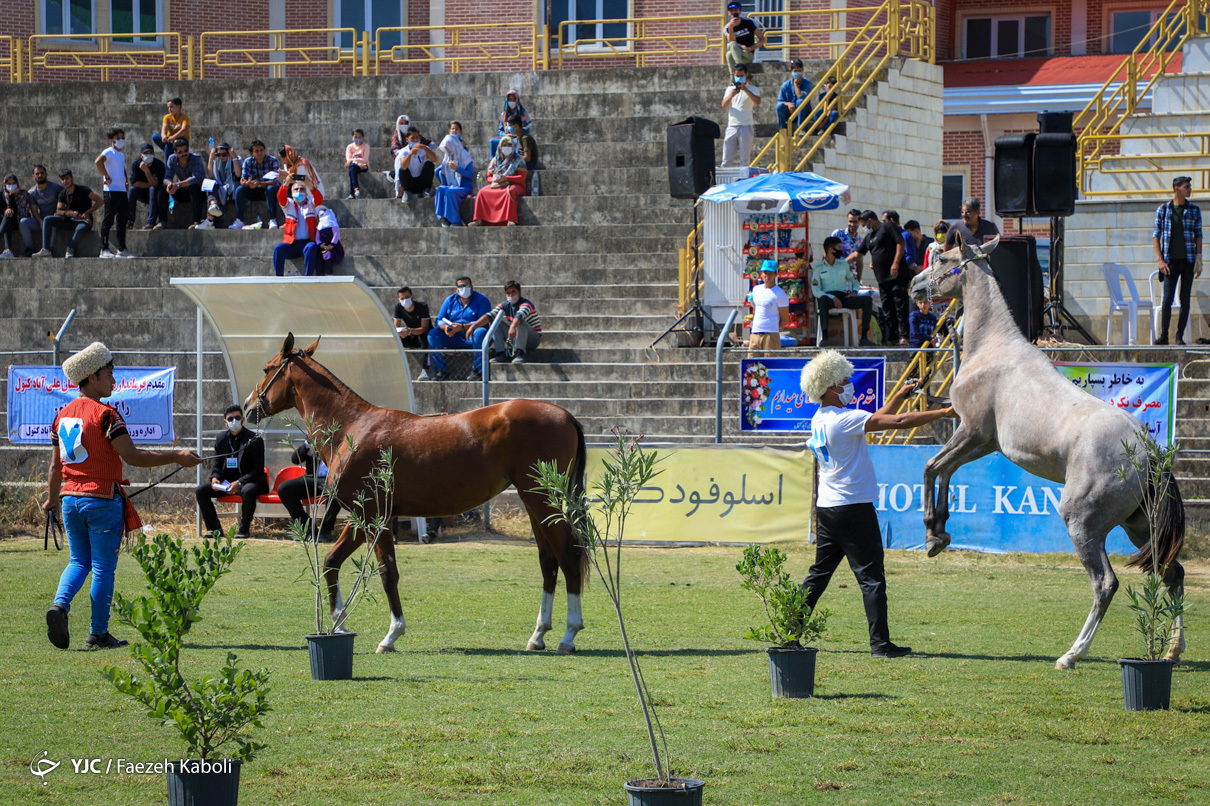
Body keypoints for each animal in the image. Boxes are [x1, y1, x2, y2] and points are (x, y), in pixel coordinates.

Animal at [242, 331, 590, 653]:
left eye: (266, 368)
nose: (246, 408)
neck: (354, 428)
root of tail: (565, 415)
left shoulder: (376, 518)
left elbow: (387, 573)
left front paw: (391, 635)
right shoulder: (362, 517)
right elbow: (330, 561)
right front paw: (339, 623)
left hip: (541, 501)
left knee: (568, 556)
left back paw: (568, 635)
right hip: (535, 503)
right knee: (548, 562)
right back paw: (538, 634)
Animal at [909, 235, 1180, 668]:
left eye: (944, 259)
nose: (914, 286)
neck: (993, 349)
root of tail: (1148, 450)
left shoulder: (970, 431)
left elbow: (931, 467)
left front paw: (933, 535)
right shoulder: (985, 443)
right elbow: (945, 471)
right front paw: (940, 532)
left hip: (1083, 524)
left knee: (1105, 583)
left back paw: (1072, 654)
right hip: (1140, 527)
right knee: (1173, 575)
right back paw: (1172, 649)